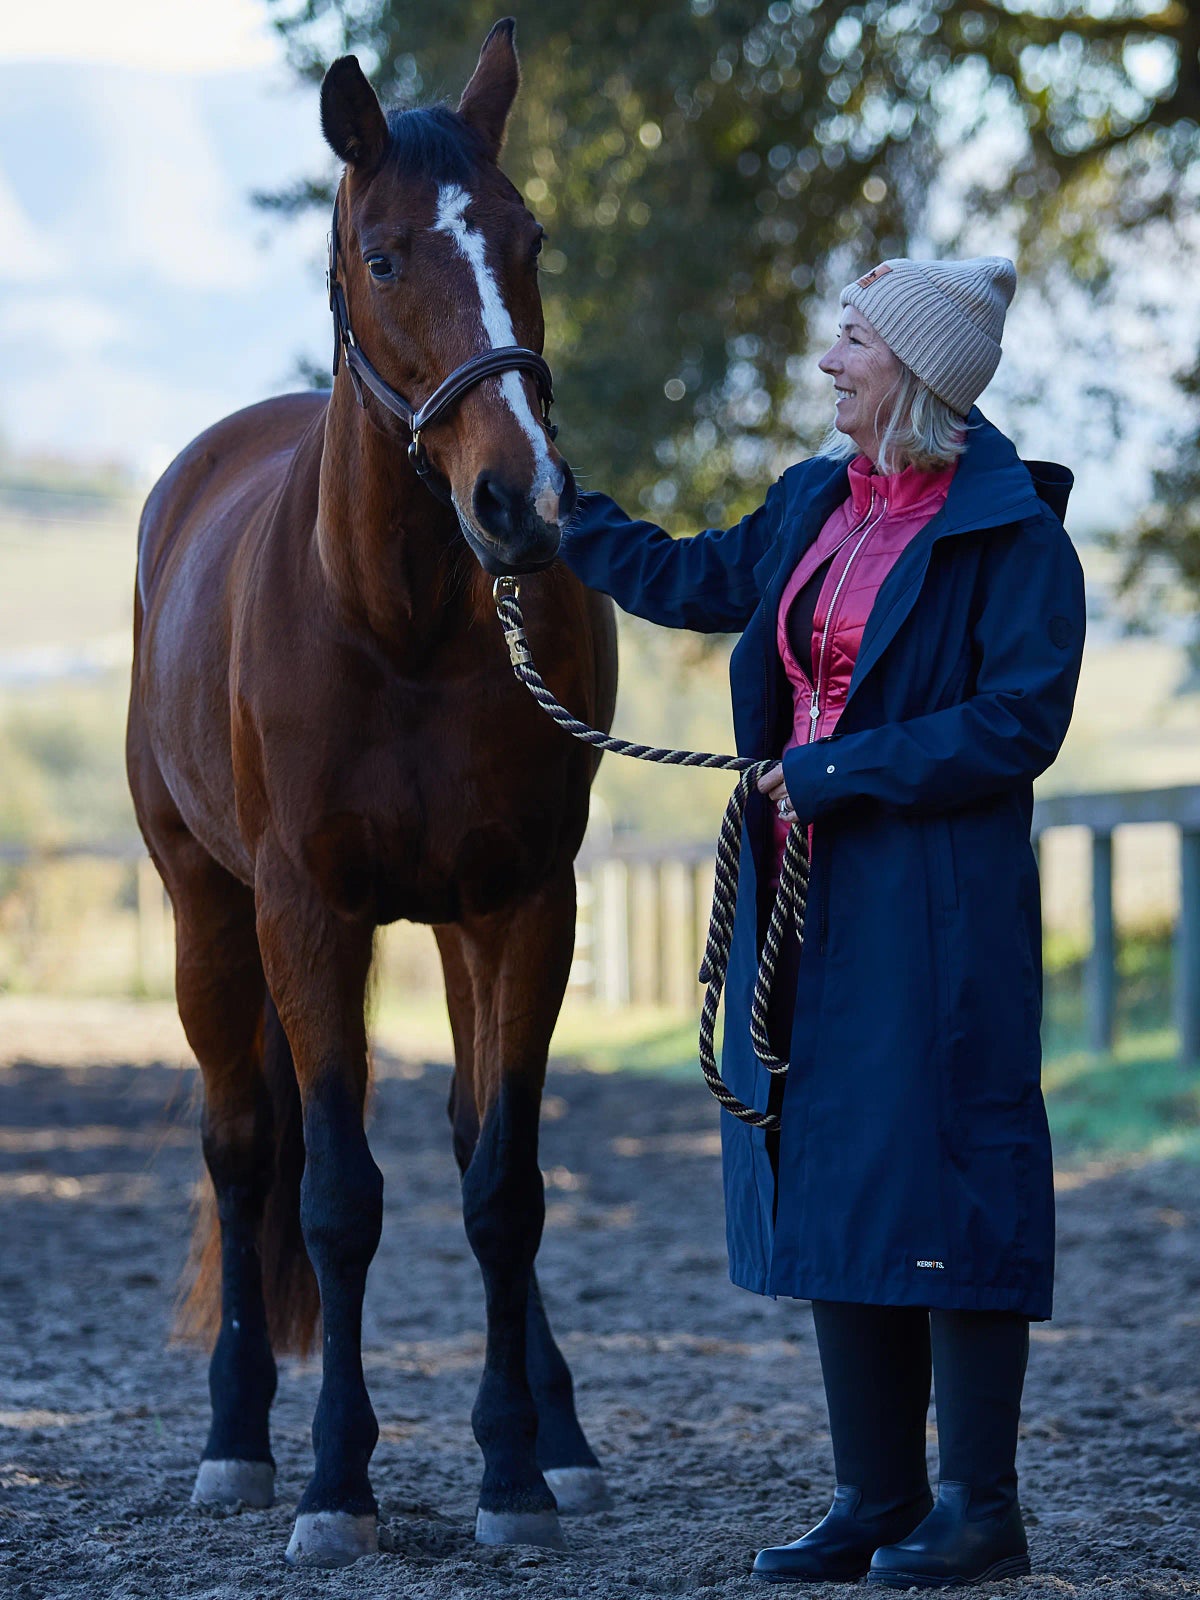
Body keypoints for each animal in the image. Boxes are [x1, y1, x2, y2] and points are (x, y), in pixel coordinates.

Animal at [125, 20, 617, 1567]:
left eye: (531, 239)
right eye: (388, 257)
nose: (525, 502)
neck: (397, 621)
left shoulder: (526, 902)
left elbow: (504, 1187)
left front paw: (516, 1470)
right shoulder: (308, 913)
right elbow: (335, 1200)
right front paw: (337, 1480)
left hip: (461, 925)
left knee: (470, 1140)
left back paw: (558, 1434)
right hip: (208, 915)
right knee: (243, 1152)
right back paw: (235, 1442)